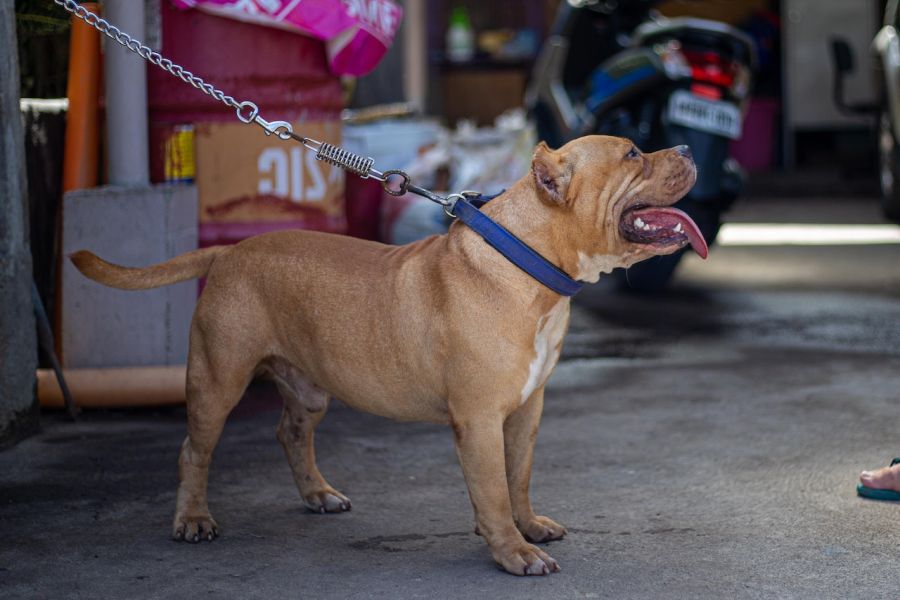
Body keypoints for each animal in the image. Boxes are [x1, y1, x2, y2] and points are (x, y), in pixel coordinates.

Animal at [70, 136, 704, 576]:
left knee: (290, 432)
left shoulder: (527, 410)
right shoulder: (479, 419)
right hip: (216, 382)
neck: (529, 263)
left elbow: (517, 476)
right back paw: (193, 519)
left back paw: (318, 494)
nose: (687, 148)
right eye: (632, 153)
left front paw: (528, 527)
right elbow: (493, 489)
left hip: (308, 387)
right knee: (193, 452)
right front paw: (512, 551)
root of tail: (228, 251)